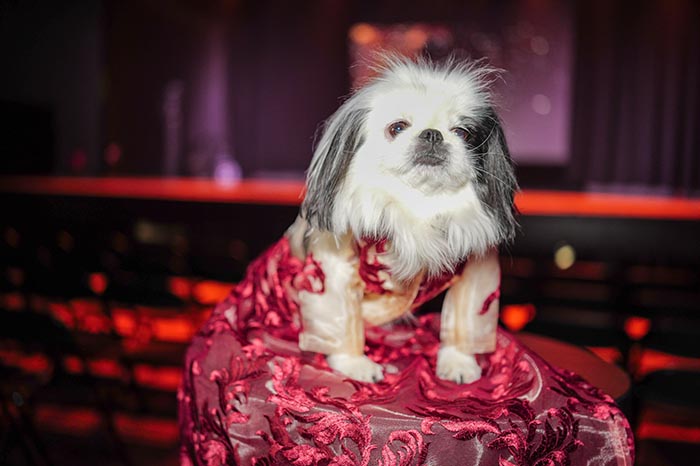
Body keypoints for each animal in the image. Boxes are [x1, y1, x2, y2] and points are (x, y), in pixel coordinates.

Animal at [280, 55, 517, 384]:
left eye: (462, 132)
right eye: (397, 127)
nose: (432, 134)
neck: (418, 206)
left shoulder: (478, 275)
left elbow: (463, 323)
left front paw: (458, 363)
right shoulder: (331, 272)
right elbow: (340, 323)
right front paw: (356, 364)